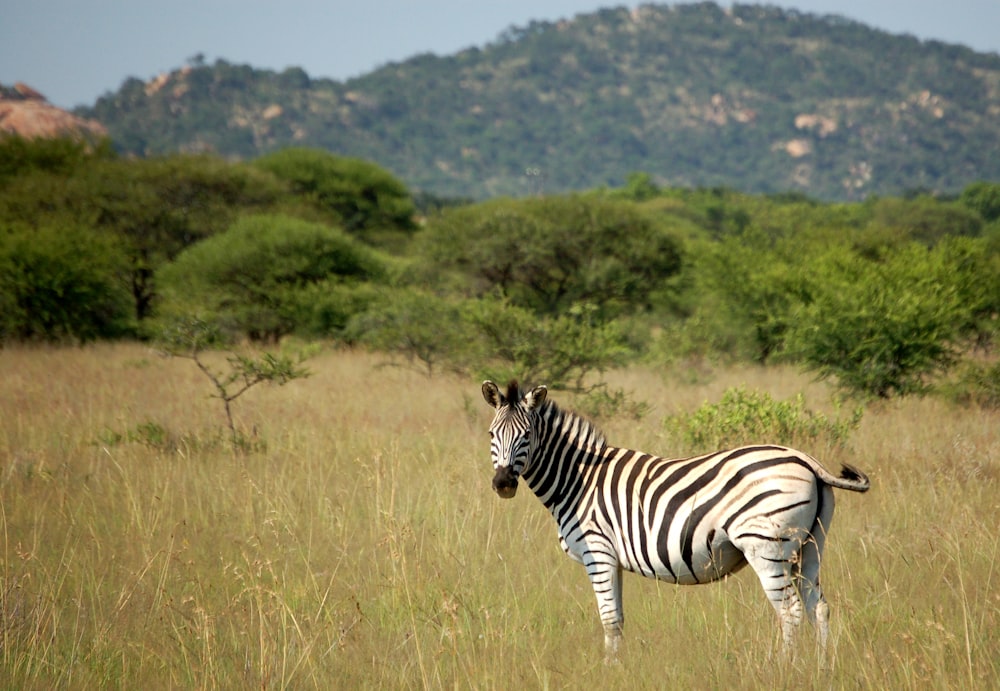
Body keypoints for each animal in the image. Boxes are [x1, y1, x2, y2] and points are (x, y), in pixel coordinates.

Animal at [482, 382, 868, 656]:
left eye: (527, 436)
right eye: (491, 435)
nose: (502, 484)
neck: (576, 480)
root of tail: (806, 459)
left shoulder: (598, 552)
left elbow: (608, 620)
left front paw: (609, 670)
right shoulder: (613, 559)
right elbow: (618, 620)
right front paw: (618, 669)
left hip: (768, 549)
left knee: (790, 613)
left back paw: (784, 671)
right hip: (811, 546)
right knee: (819, 608)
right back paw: (821, 670)